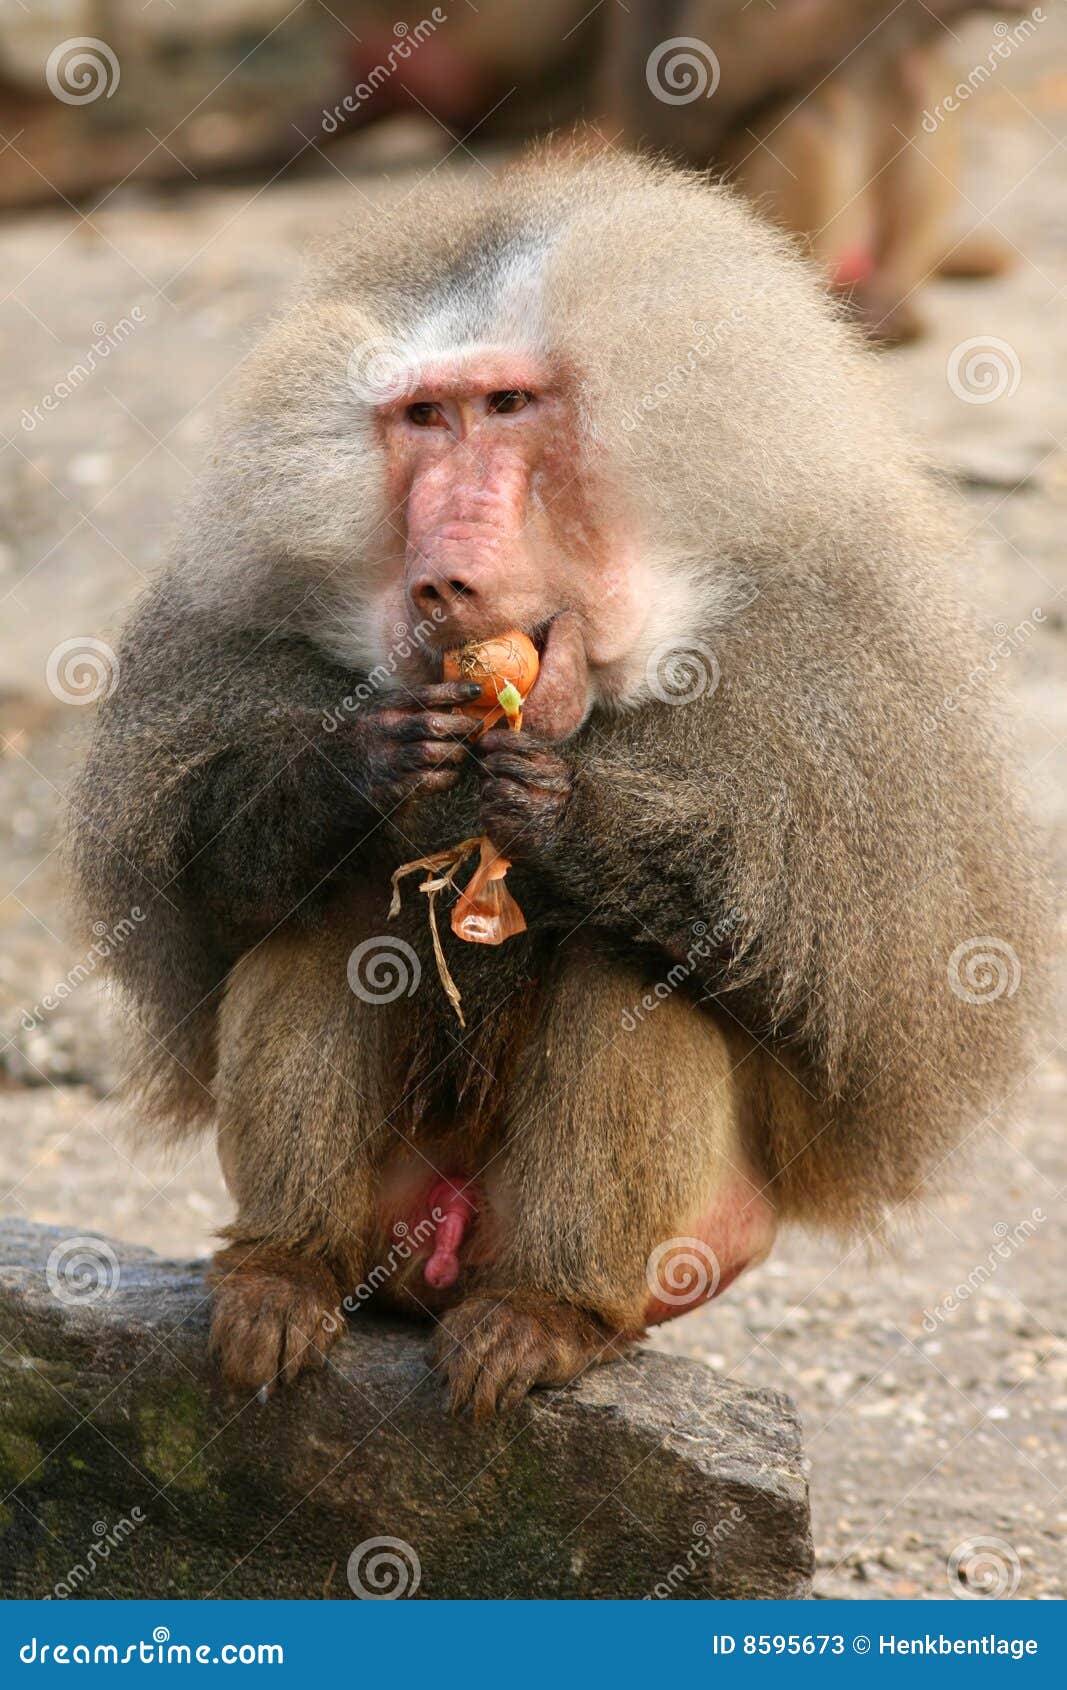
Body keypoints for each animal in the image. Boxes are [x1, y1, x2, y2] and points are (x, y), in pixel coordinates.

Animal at [71, 147, 1048, 1418]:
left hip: (682, 1252)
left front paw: (561, 818)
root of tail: (435, 1263)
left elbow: (833, 991)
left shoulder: (838, 680)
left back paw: (540, 1316)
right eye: (422, 419)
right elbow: (216, 891)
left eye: (507, 408)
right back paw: (283, 1276)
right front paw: (363, 771)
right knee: (325, 908)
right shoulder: (227, 645)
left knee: (634, 965)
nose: (441, 578)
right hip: (397, 1212)